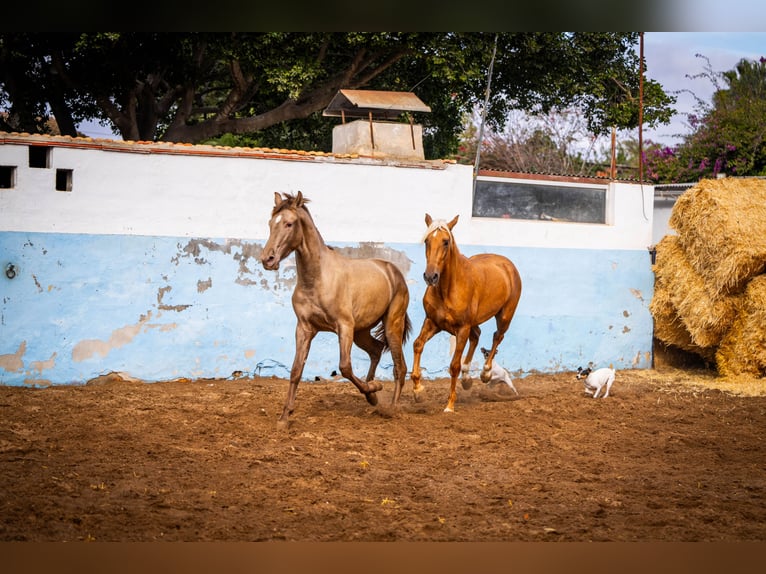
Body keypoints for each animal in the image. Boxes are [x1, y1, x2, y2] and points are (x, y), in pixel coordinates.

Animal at [260, 191, 412, 428]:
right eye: (270, 223)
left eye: (289, 223)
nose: (268, 259)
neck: (317, 278)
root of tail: (392, 271)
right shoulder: (304, 328)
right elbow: (296, 370)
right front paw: (284, 418)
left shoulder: (344, 326)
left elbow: (345, 367)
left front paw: (374, 389)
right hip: (361, 331)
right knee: (376, 350)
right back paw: (372, 396)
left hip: (391, 325)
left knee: (400, 367)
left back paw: (390, 408)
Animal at [410, 213, 522, 413]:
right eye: (427, 241)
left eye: (446, 242)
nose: (430, 277)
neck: (447, 289)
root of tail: (507, 264)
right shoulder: (432, 322)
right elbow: (417, 345)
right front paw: (418, 391)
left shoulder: (462, 328)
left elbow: (454, 365)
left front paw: (449, 406)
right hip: (473, 322)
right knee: (476, 336)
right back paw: (467, 378)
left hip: (504, 316)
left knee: (497, 337)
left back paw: (485, 373)